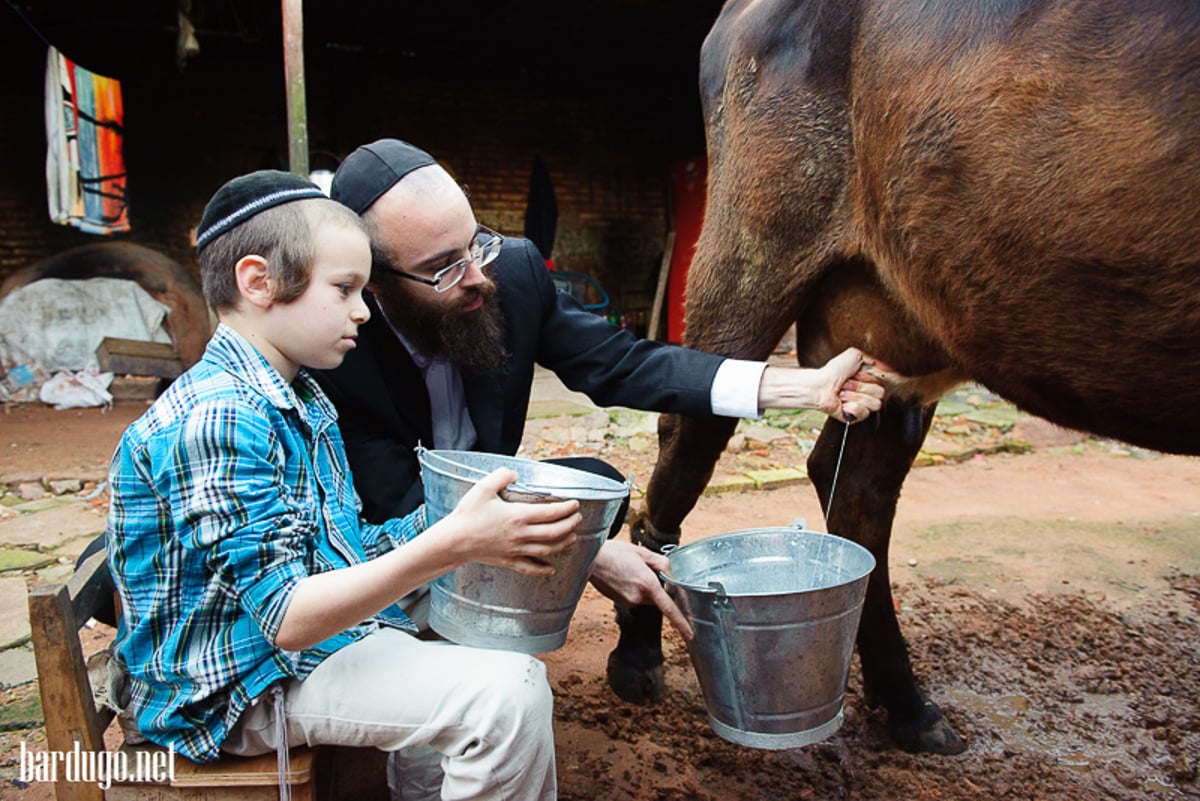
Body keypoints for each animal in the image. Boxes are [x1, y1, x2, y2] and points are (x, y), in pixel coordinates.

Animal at [609, 0, 1200, 757]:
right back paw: (636, 656)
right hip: (749, 249)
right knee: (685, 440)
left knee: (854, 490)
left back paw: (908, 705)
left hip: (900, 322)